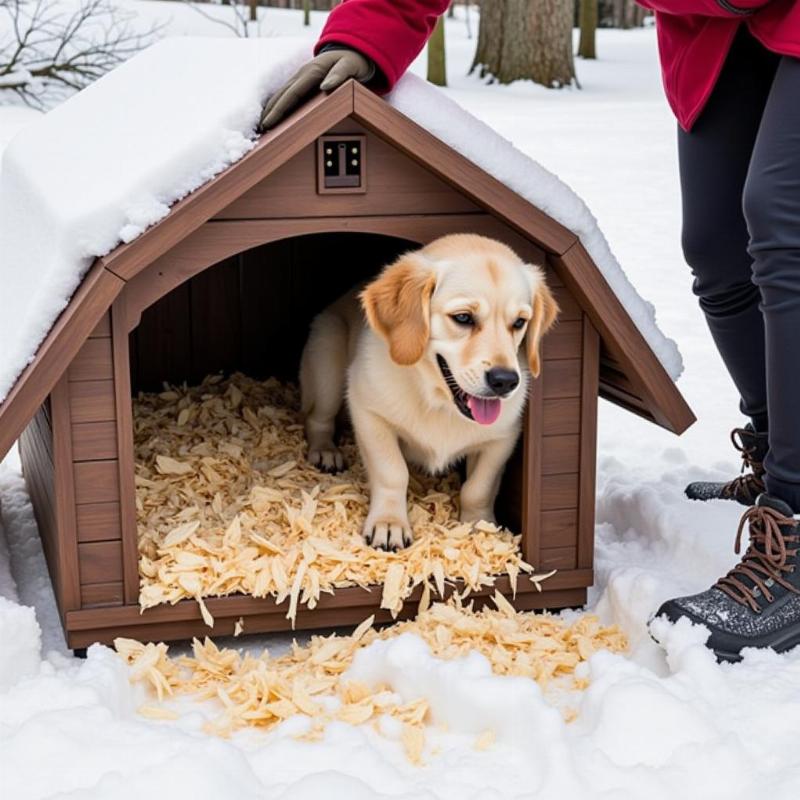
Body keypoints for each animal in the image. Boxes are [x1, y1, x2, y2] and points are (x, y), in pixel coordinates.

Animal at [298, 233, 556, 552]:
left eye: (519, 322)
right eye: (463, 318)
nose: (505, 381)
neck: (438, 401)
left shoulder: (503, 438)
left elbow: (478, 487)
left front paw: (480, 527)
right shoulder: (369, 414)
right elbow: (393, 473)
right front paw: (389, 524)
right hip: (328, 359)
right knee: (316, 419)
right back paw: (325, 451)